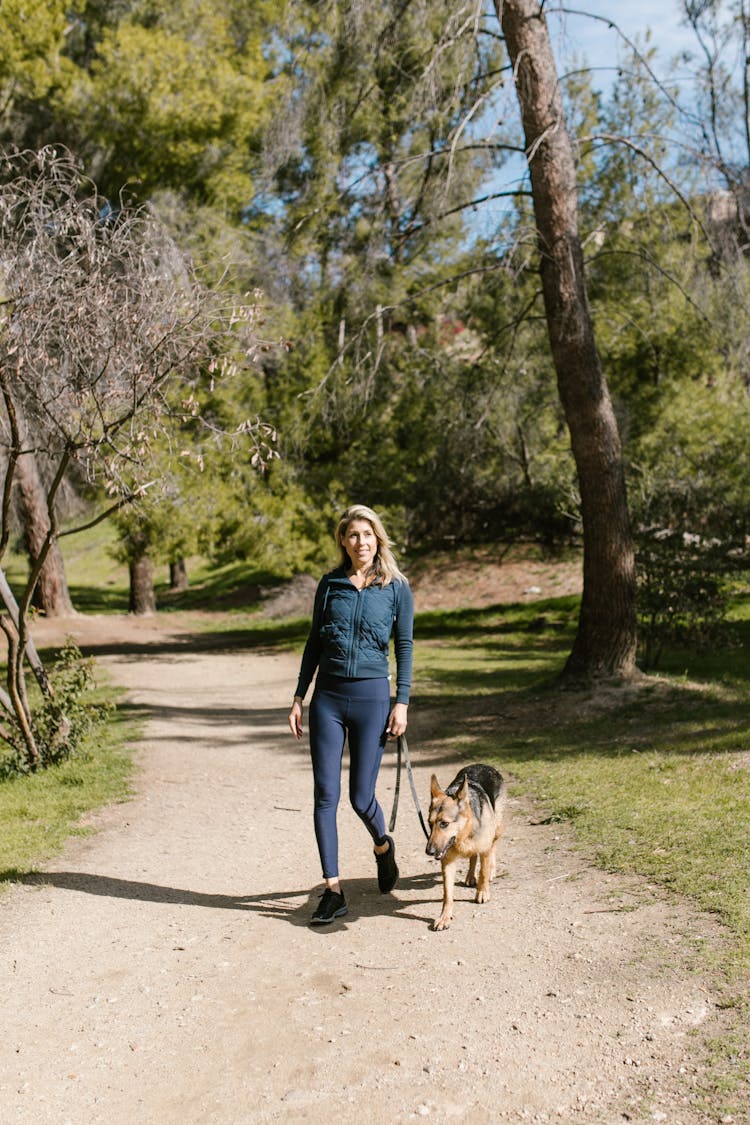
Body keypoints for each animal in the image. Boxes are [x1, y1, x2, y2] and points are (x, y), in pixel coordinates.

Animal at [427, 765, 503, 931]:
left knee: (493, 847)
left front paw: (482, 892)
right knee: (473, 856)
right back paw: (470, 876)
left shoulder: (485, 848)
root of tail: (482, 765)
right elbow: (447, 894)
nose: (429, 851)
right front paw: (445, 917)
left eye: (444, 823)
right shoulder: (447, 862)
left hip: (497, 828)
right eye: (430, 823)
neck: (464, 834)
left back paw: (492, 871)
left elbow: (483, 872)